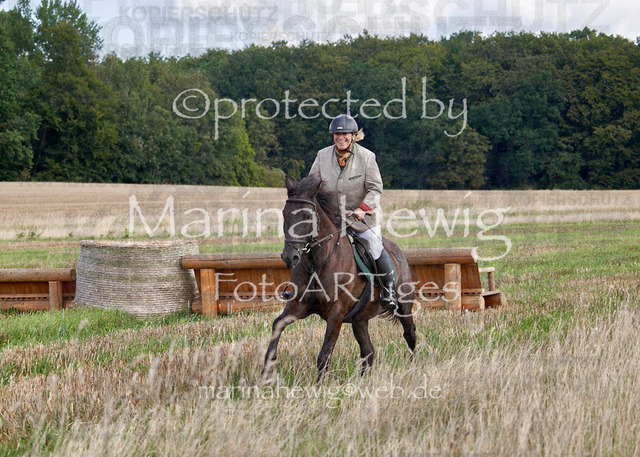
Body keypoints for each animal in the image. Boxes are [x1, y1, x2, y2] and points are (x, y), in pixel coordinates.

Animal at [260, 174, 417, 383]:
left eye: (307, 216)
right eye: (285, 214)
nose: (289, 257)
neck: (317, 262)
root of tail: (398, 252)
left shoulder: (336, 313)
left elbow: (325, 354)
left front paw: (319, 385)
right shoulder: (298, 306)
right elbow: (277, 325)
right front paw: (266, 373)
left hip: (404, 307)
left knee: (409, 334)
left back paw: (413, 367)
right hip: (360, 319)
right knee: (368, 351)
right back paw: (362, 381)